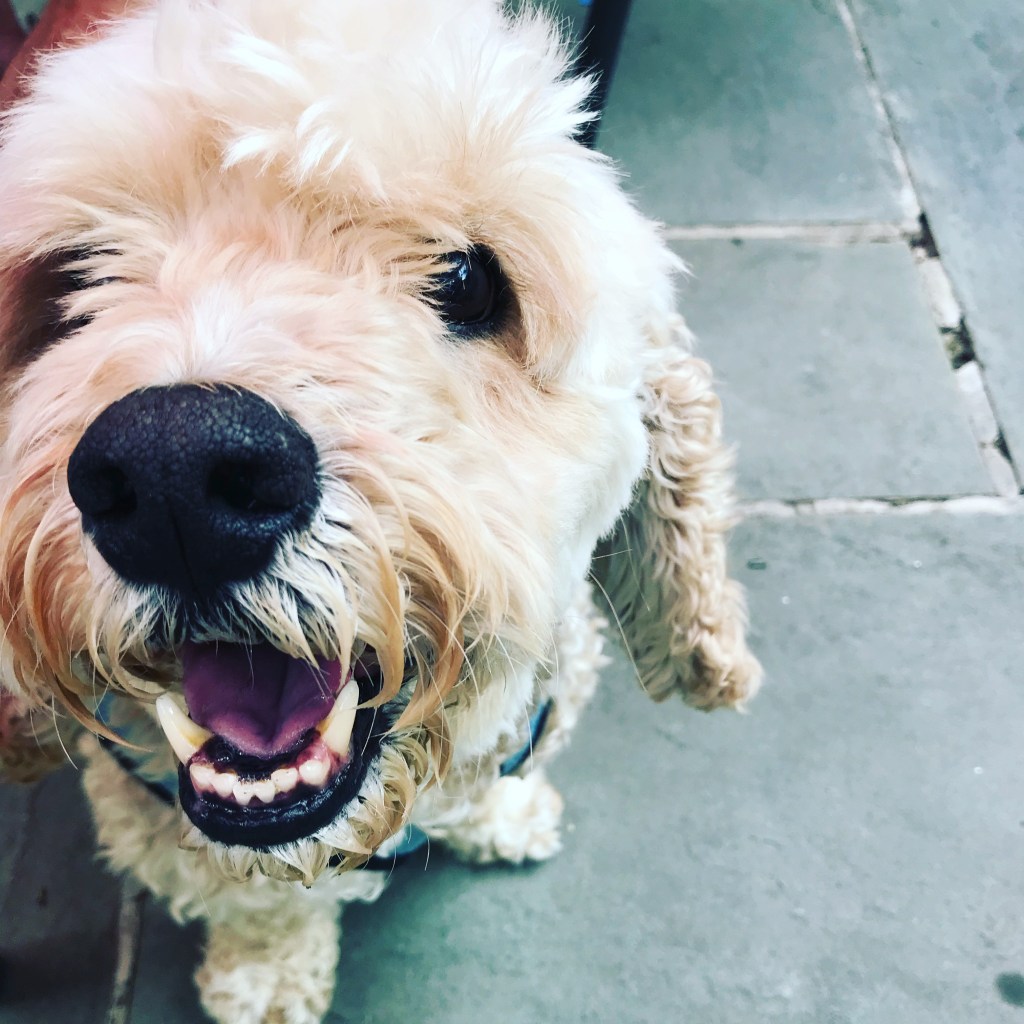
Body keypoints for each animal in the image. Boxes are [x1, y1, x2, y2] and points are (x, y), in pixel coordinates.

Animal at [0, 2, 761, 1021]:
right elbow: (258, 907)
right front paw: (267, 981)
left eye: (471, 280)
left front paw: (503, 816)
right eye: (72, 281)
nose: (173, 475)